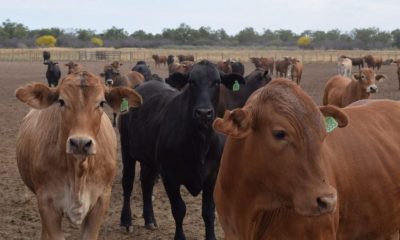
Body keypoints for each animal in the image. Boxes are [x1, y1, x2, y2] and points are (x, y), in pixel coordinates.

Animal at [15, 71, 143, 240]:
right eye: (61, 101)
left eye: (101, 103)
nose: (80, 143)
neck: (78, 171)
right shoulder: (46, 202)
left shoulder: (101, 200)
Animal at [119, 59, 244, 238]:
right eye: (191, 82)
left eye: (217, 82)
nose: (204, 113)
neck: (201, 144)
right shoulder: (170, 176)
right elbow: (179, 209)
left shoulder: (213, 175)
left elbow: (208, 211)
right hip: (126, 150)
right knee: (127, 184)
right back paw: (126, 221)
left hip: (149, 159)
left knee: (147, 183)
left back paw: (150, 219)